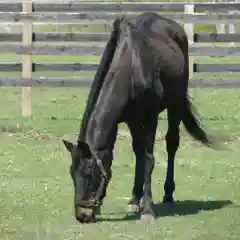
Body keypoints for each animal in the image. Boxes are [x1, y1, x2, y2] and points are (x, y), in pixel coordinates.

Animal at [62, 12, 215, 223]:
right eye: (71, 173)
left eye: (87, 173)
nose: (82, 215)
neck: (131, 67)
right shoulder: (127, 120)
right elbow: (132, 154)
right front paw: (132, 200)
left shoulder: (150, 116)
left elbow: (148, 159)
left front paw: (148, 210)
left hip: (175, 104)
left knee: (172, 143)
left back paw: (168, 194)